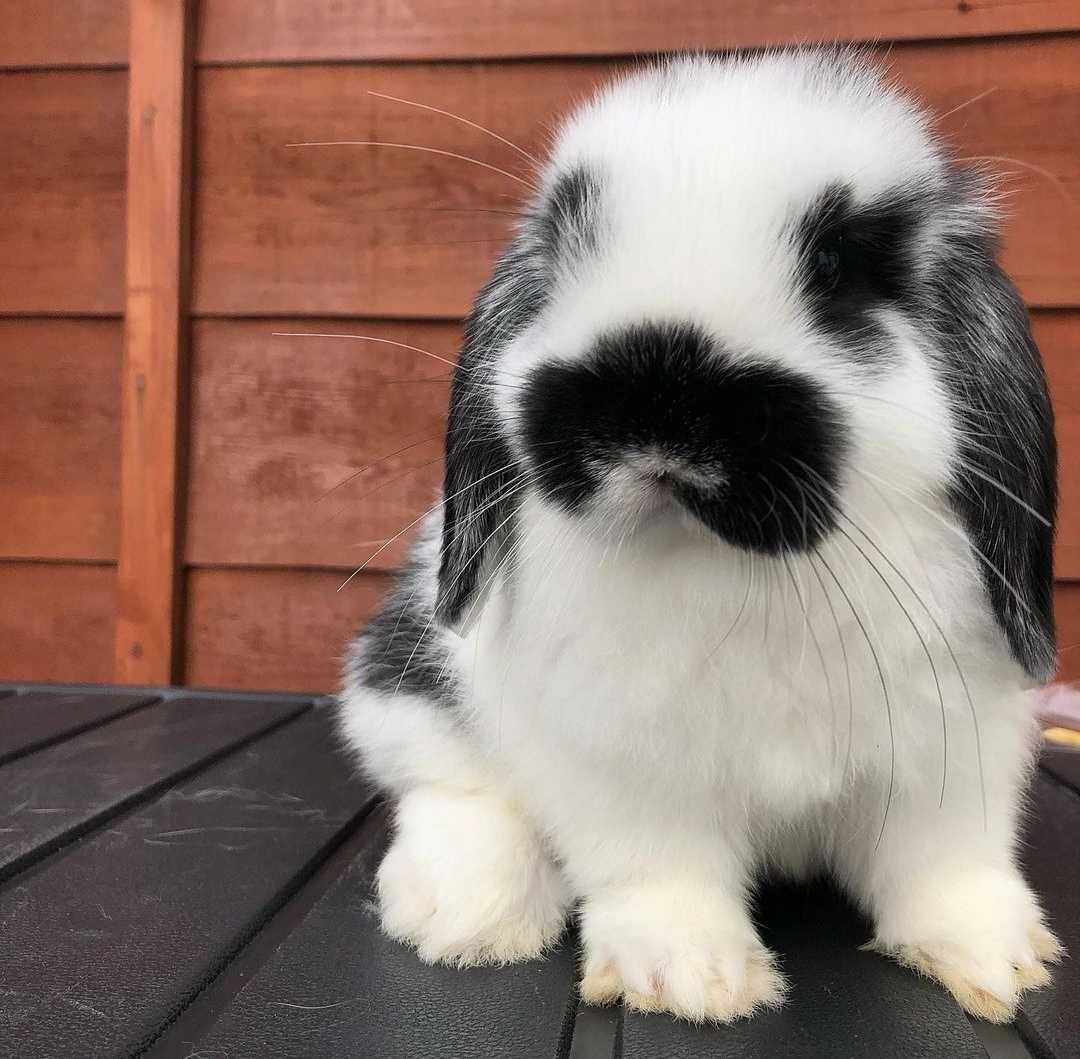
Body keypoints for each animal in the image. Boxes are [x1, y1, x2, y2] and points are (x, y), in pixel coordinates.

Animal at [339, 49, 1062, 1023]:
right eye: (567, 246)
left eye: (837, 262)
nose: (655, 396)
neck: (738, 572)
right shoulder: (625, 763)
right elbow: (659, 869)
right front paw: (690, 977)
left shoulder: (952, 745)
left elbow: (944, 860)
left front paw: (992, 956)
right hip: (408, 672)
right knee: (447, 779)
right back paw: (465, 914)